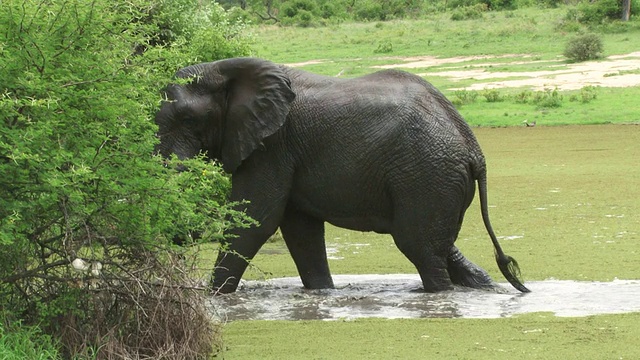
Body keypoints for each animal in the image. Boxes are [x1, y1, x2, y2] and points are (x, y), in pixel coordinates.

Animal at [155, 55, 528, 292]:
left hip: (427, 174)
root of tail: (474, 149)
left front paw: (213, 299)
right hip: (435, 179)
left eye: (187, 119)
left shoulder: (272, 146)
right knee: (439, 246)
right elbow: (300, 230)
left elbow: (255, 219)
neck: (224, 68)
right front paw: (322, 294)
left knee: (420, 248)